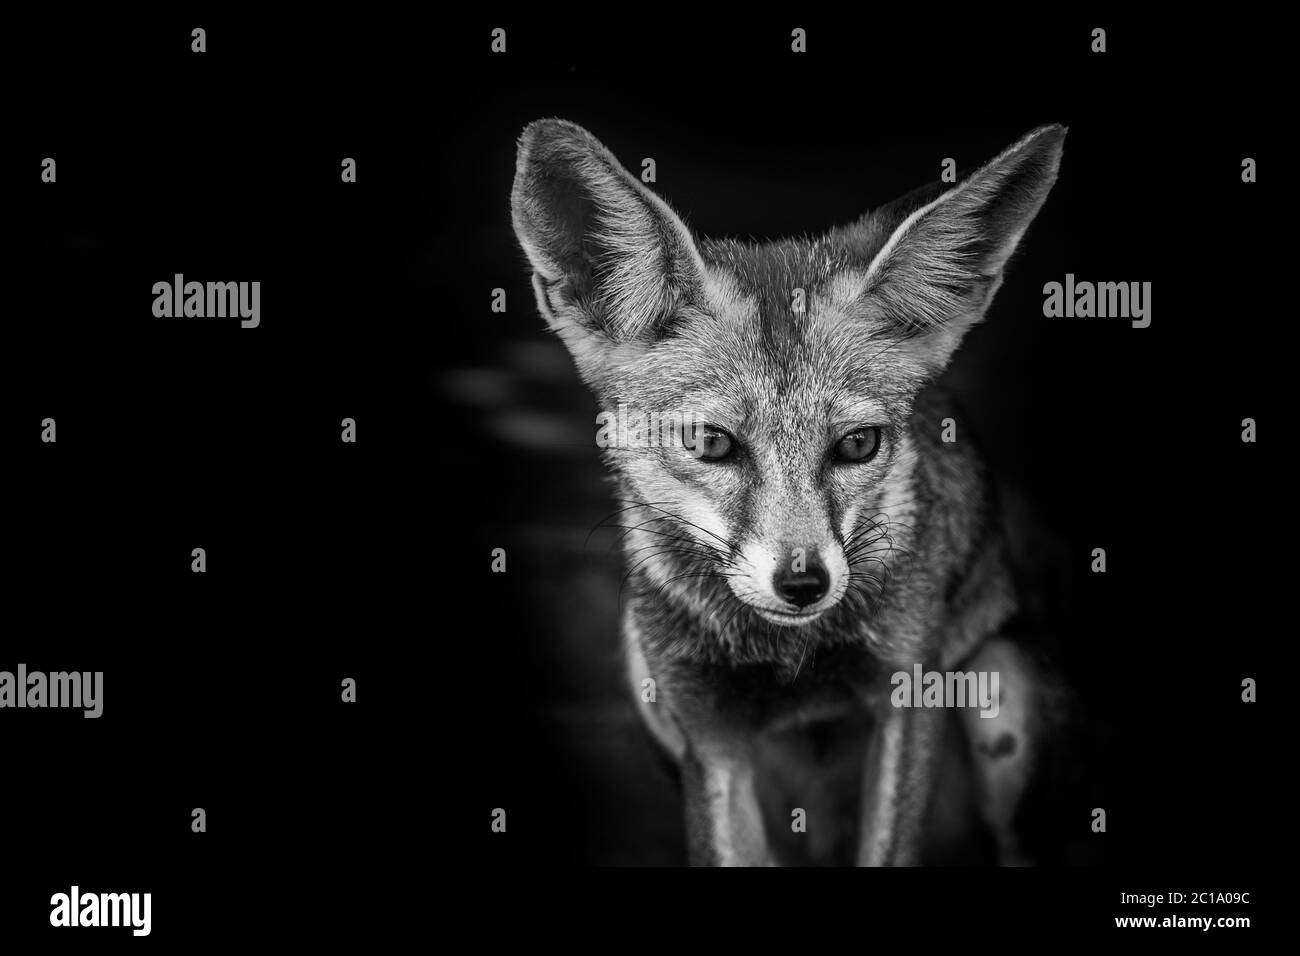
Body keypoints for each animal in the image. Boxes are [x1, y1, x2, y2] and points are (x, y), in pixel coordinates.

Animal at [511, 119, 1066, 866]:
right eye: (712, 443)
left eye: (857, 446)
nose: (803, 583)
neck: (788, 661)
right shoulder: (708, 738)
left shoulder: (909, 692)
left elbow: (890, 848)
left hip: (1001, 698)